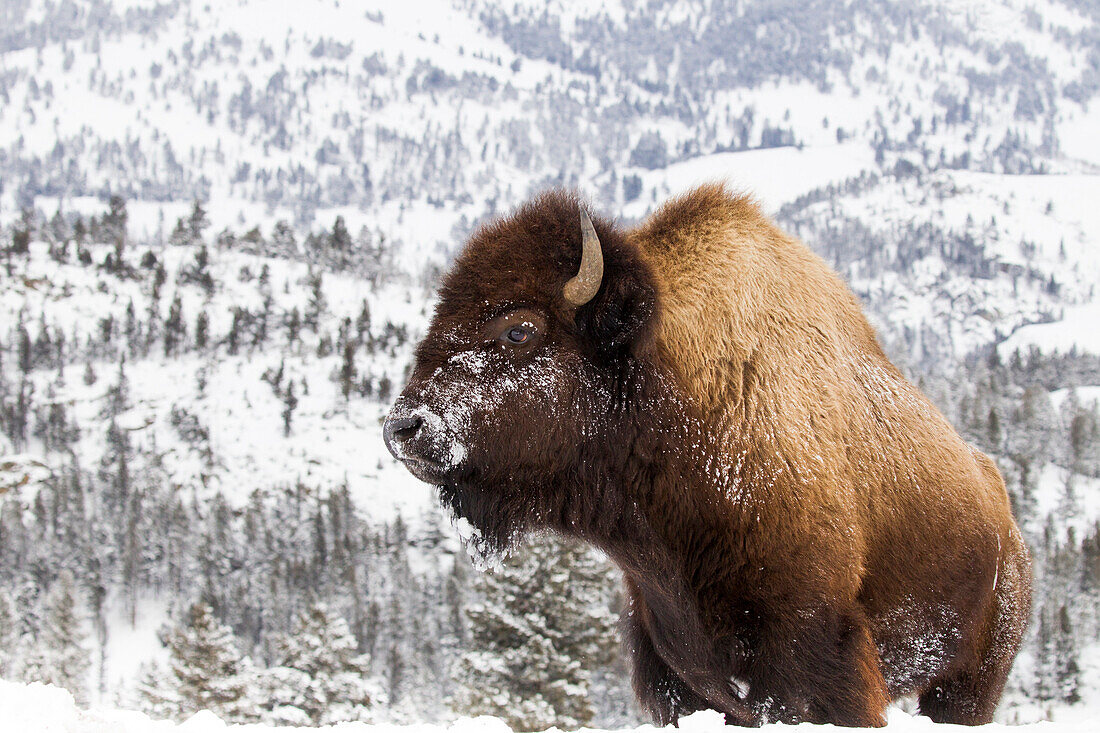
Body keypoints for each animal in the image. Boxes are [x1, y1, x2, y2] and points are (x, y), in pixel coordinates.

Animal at [385, 183, 1029, 726]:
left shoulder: (823, 664)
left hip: (969, 682)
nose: (404, 428)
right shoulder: (681, 681)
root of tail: (1008, 520)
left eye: (519, 328)